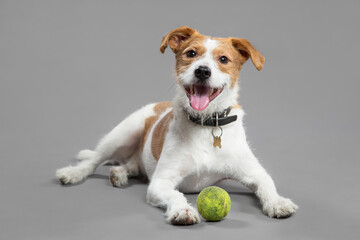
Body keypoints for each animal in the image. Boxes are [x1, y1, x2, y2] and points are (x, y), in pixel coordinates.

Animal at [56, 26, 298, 225]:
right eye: (191, 53)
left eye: (223, 59)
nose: (202, 71)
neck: (206, 125)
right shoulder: (161, 182)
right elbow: (175, 194)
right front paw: (184, 210)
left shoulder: (254, 172)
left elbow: (266, 184)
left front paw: (277, 203)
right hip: (123, 133)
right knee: (94, 161)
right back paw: (73, 173)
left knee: (132, 165)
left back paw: (120, 173)